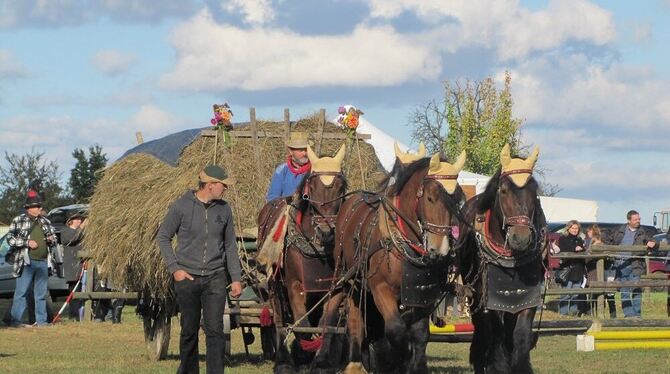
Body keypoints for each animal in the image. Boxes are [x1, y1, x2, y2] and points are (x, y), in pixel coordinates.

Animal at [258, 144, 352, 374]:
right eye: (312, 186)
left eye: (340, 187)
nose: (326, 232)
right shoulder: (294, 286)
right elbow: (302, 324)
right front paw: (301, 355)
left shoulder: (335, 287)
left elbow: (327, 323)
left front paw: (321, 362)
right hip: (274, 286)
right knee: (280, 320)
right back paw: (284, 360)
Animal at [316, 151, 468, 374]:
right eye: (430, 198)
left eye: (458, 201)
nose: (440, 249)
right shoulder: (381, 289)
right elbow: (396, 330)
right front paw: (396, 362)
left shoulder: (423, 295)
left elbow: (420, 334)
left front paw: (414, 366)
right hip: (346, 278)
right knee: (344, 316)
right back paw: (341, 360)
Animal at [462, 144, 552, 374]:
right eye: (503, 190)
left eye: (534, 191)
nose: (520, 237)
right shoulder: (491, 300)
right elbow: (496, 334)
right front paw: (497, 366)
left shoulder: (527, 300)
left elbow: (520, 336)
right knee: (483, 332)